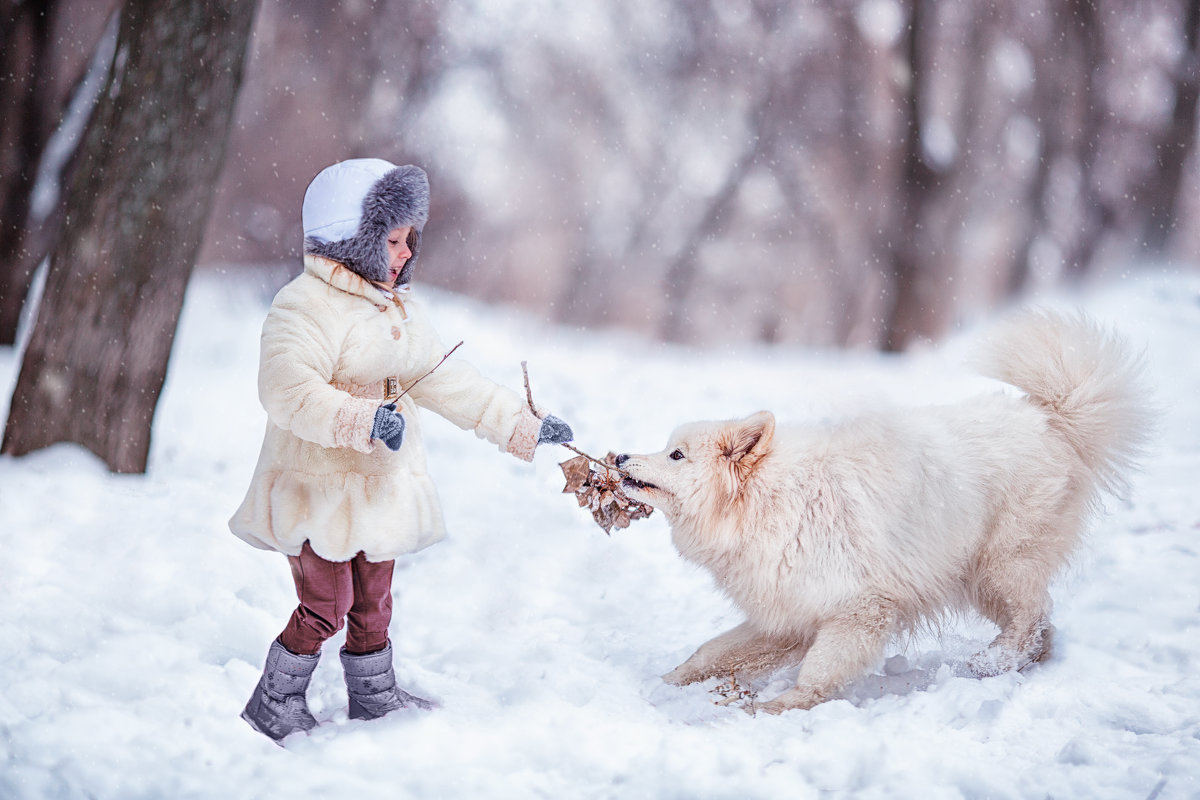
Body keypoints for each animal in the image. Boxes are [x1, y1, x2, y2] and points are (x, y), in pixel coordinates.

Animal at [619, 311, 1152, 714]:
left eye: (676, 455)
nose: (621, 457)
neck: (766, 502)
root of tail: (1049, 417)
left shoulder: (860, 609)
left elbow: (818, 672)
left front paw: (775, 707)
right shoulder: (790, 616)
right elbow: (711, 653)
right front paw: (663, 684)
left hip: (999, 567)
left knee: (1031, 619)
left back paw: (992, 663)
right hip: (978, 577)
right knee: (1043, 626)